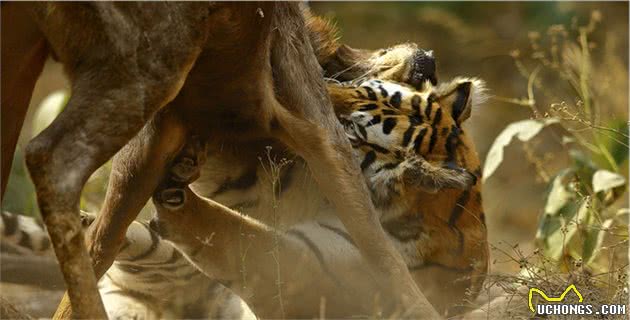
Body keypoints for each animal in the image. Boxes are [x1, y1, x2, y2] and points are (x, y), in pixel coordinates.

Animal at [151, 75, 492, 318]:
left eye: (351, 131)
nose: (287, 102)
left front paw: (176, 200)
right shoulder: (277, 188)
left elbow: (236, 232)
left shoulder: (314, 270)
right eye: (358, 86)